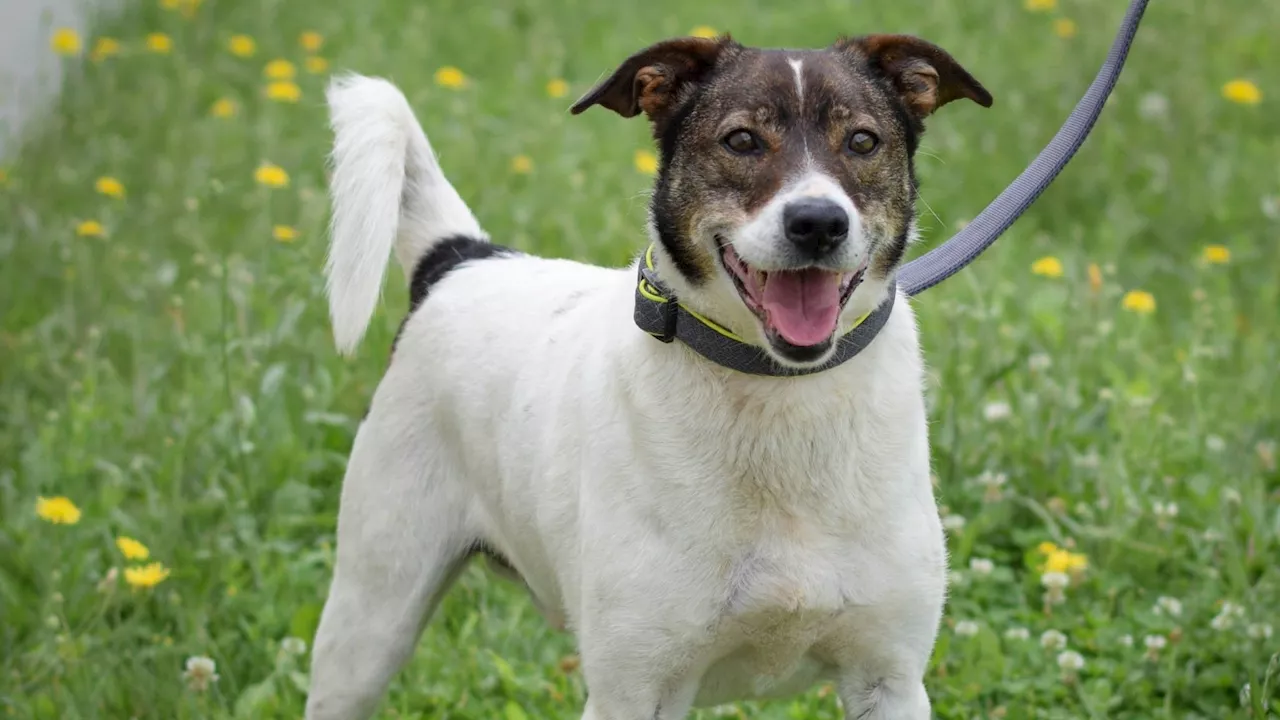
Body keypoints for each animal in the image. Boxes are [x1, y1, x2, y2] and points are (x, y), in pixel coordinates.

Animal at [307, 29, 988, 717]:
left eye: (863, 142)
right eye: (741, 140)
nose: (819, 223)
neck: (779, 394)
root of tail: (463, 259)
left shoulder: (890, 681)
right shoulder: (631, 690)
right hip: (368, 623)